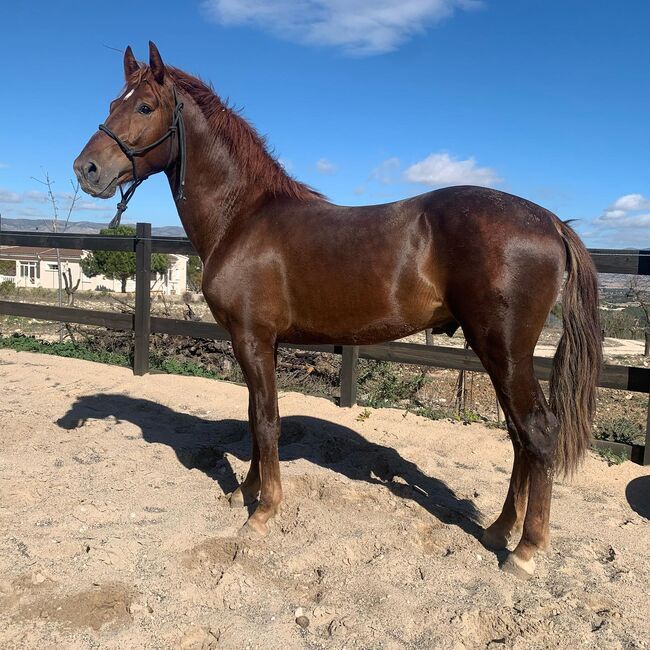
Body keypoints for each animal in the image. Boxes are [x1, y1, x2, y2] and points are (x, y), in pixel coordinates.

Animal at [73, 43, 600, 576]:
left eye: (144, 107)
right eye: (113, 102)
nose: (86, 169)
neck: (242, 217)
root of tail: (550, 221)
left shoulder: (252, 338)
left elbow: (267, 422)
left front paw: (263, 512)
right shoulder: (257, 343)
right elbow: (254, 417)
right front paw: (246, 490)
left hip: (504, 350)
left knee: (537, 432)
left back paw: (525, 550)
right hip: (498, 354)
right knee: (518, 436)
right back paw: (498, 530)